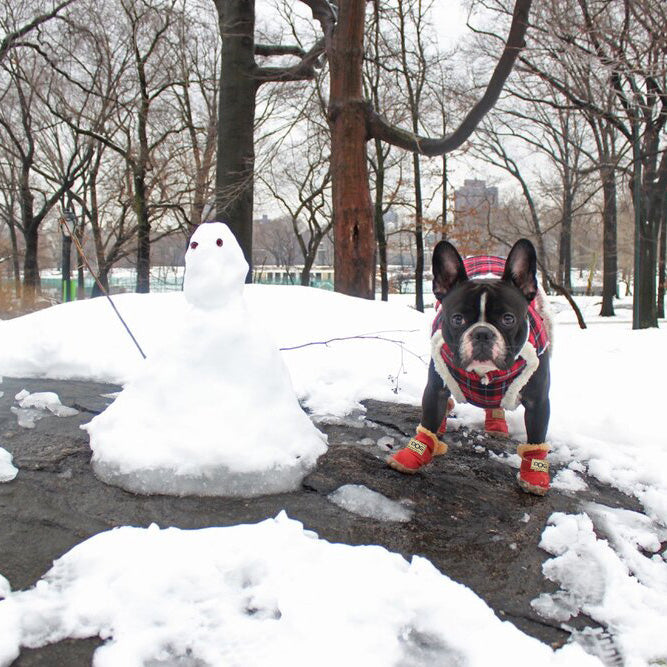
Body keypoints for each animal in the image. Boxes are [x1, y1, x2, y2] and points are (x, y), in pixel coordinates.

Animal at [386, 237, 552, 494]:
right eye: (457, 319)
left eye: (508, 319)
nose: (482, 333)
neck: (484, 375)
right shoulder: (436, 388)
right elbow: (428, 422)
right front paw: (413, 456)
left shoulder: (538, 402)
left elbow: (536, 437)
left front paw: (535, 476)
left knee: (496, 407)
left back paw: (496, 423)